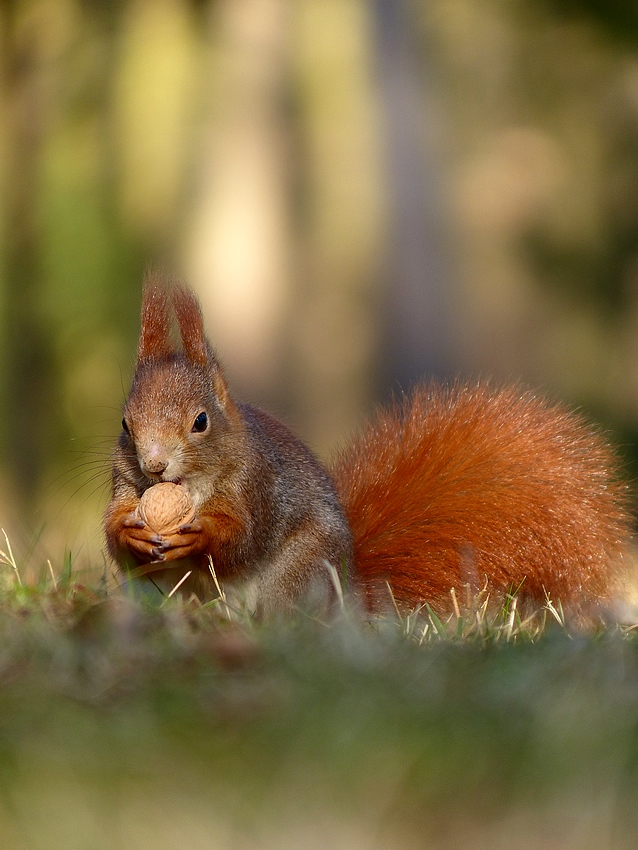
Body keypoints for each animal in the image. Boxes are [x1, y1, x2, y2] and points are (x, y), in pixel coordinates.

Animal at [105, 272, 634, 618]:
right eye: (126, 424)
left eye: (200, 422)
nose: (154, 465)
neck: (189, 486)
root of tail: (351, 594)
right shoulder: (125, 484)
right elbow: (115, 536)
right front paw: (131, 533)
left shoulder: (258, 487)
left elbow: (242, 540)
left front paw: (199, 537)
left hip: (300, 573)